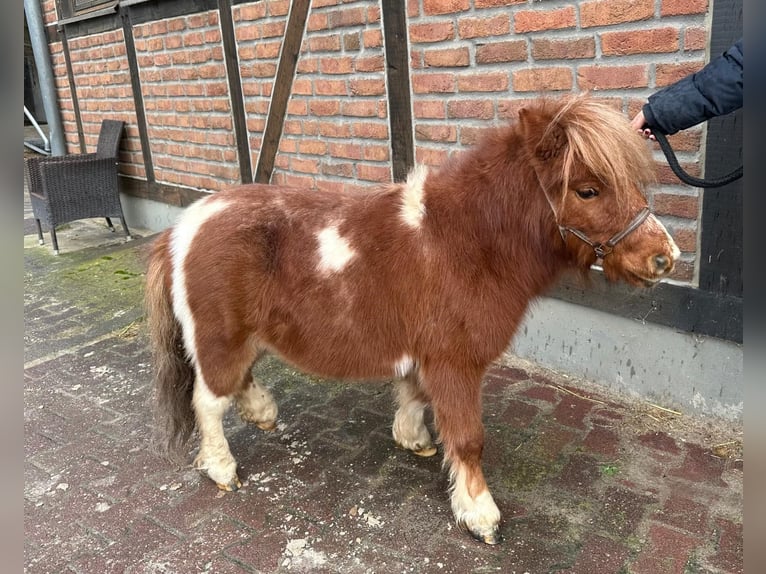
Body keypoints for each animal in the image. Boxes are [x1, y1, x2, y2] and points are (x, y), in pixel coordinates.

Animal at [147, 94, 680, 544]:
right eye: (588, 191)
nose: (665, 258)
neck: (466, 241)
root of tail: (183, 227)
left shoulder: (429, 352)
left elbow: (415, 395)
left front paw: (414, 439)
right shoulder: (455, 362)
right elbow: (468, 438)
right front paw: (479, 514)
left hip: (246, 336)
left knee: (239, 380)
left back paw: (262, 412)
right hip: (220, 338)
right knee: (208, 402)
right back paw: (223, 470)